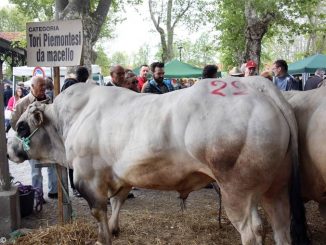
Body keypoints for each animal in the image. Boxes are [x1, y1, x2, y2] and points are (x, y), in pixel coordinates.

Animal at [7, 77, 308, 244]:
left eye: (21, 127)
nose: (9, 149)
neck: (71, 120)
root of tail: (256, 84)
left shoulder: (89, 179)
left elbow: (100, 215)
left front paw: (104, 238)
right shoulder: (121, 176)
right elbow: (118, 203)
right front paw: (116, 228)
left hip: (237, 190)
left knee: (253, 231)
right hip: (276, 188)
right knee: (281, 229)